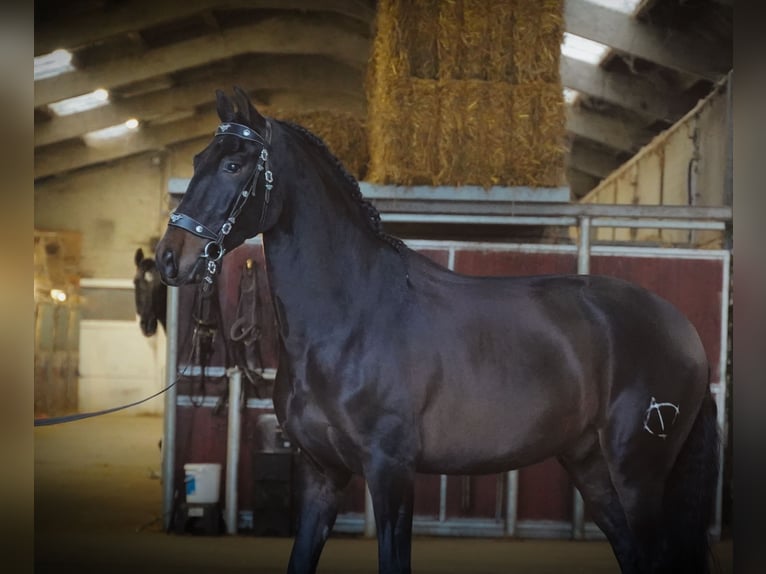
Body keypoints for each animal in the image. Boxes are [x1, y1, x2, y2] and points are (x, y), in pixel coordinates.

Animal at [154, 88, 720, 572]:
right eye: (197, 162)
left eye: (234, 164)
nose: (168, 259)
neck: (353, 317)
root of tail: (684, 330)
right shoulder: (322, 475)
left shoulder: (391, 472)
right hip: (590, 466)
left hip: (639, 473)